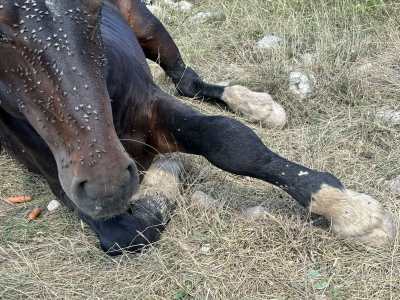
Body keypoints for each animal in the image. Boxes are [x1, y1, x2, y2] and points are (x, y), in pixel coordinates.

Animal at [0, 0, 394, 255]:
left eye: (94, 10)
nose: (106, 181)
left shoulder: (153, 104)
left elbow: (228, 140)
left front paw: (346, 209)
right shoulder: (60, 179)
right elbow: (127, 232)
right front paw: (164, 173)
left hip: (147, 25)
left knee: (185, 79)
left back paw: (259, 105)